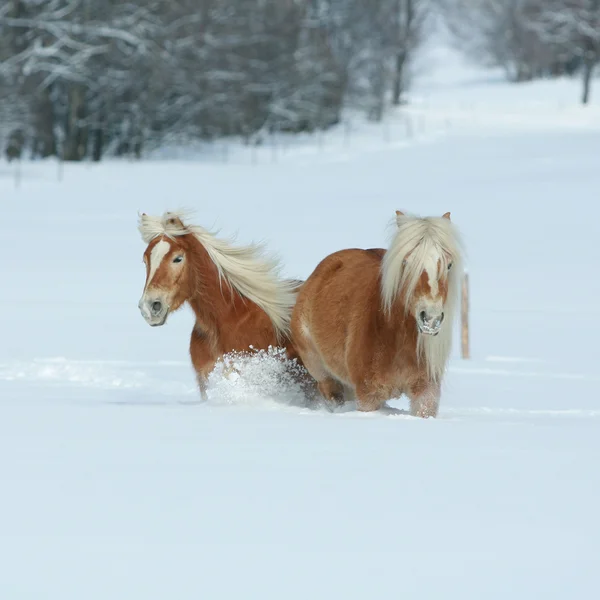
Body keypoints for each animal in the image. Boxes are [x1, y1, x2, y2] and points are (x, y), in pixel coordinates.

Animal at [290, 211, 464, 418]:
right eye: (406, 262)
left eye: (449, 264)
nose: (430, 318)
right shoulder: (368, 395)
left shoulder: (426, 393)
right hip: (323, 375)